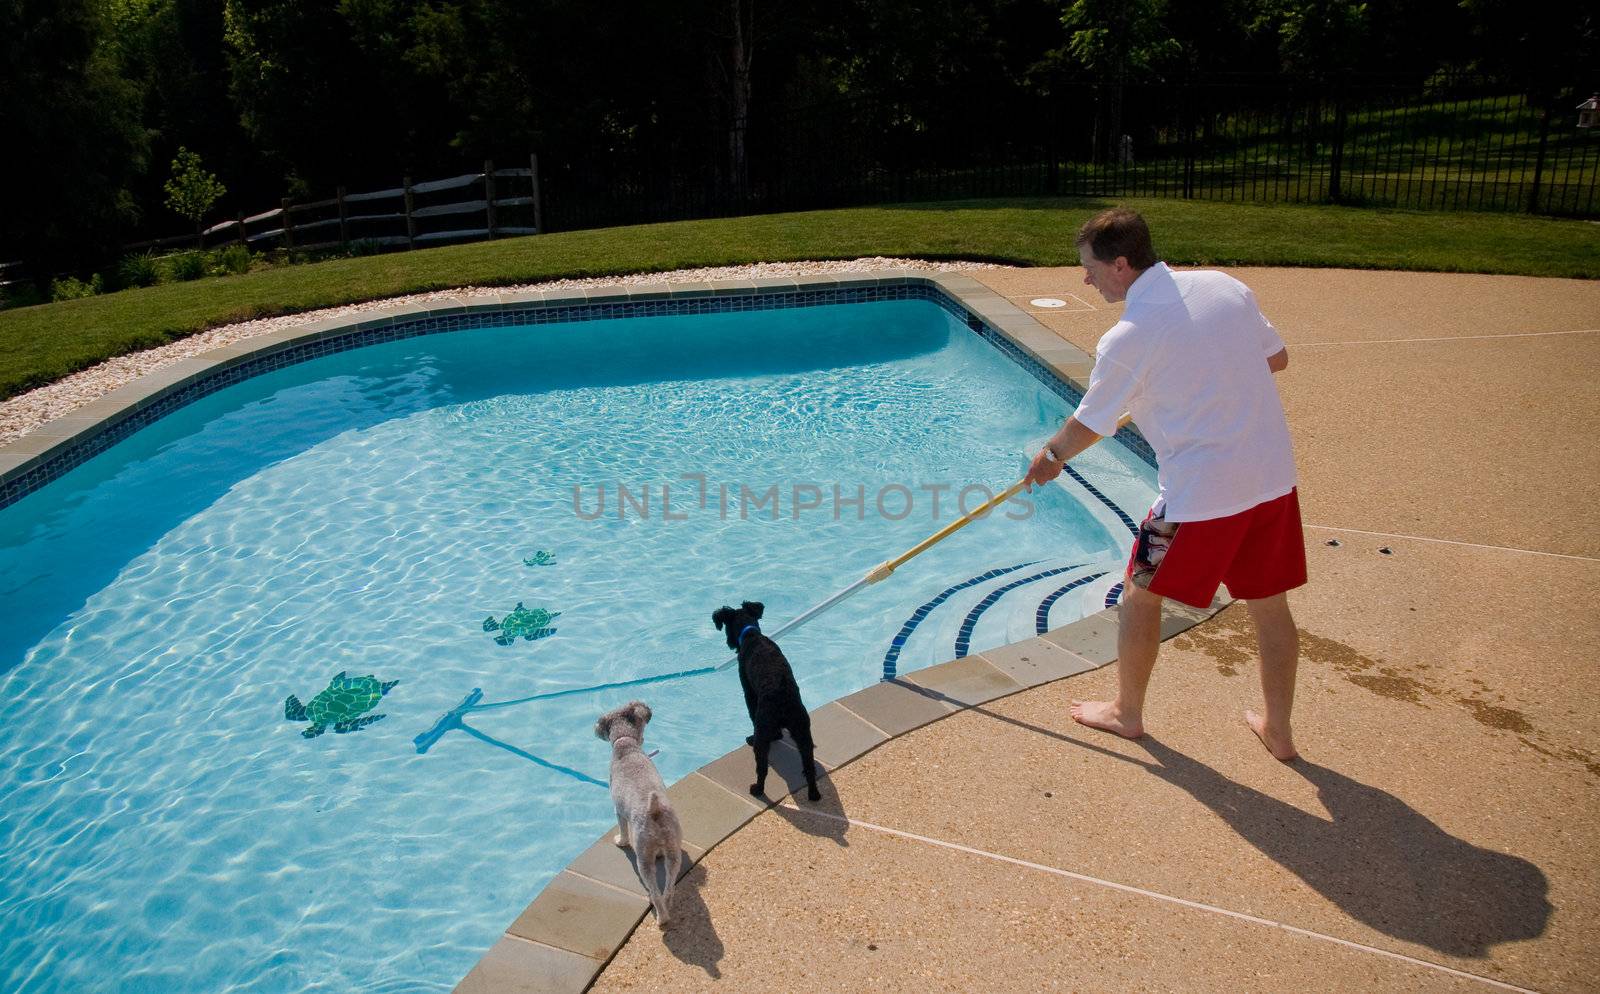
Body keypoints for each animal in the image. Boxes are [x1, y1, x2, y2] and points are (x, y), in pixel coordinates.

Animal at [595, 697, 681, 921]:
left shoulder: (618, 810)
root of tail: (655, 811)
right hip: (673, 851)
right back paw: (668, 903)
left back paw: (661, 917)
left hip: (643, 857)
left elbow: (622, 830)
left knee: (654, 890)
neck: (626, 744)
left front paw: (620, 841)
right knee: (669, 885)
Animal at [716, 595, 825, 797]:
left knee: (762, 767)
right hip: (802, 730)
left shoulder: (749, 692)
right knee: (809, 766)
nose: (729, 643)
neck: (751, 635)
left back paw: (757, 789)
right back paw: (814, 794)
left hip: (764, 729)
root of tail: (782, 697)